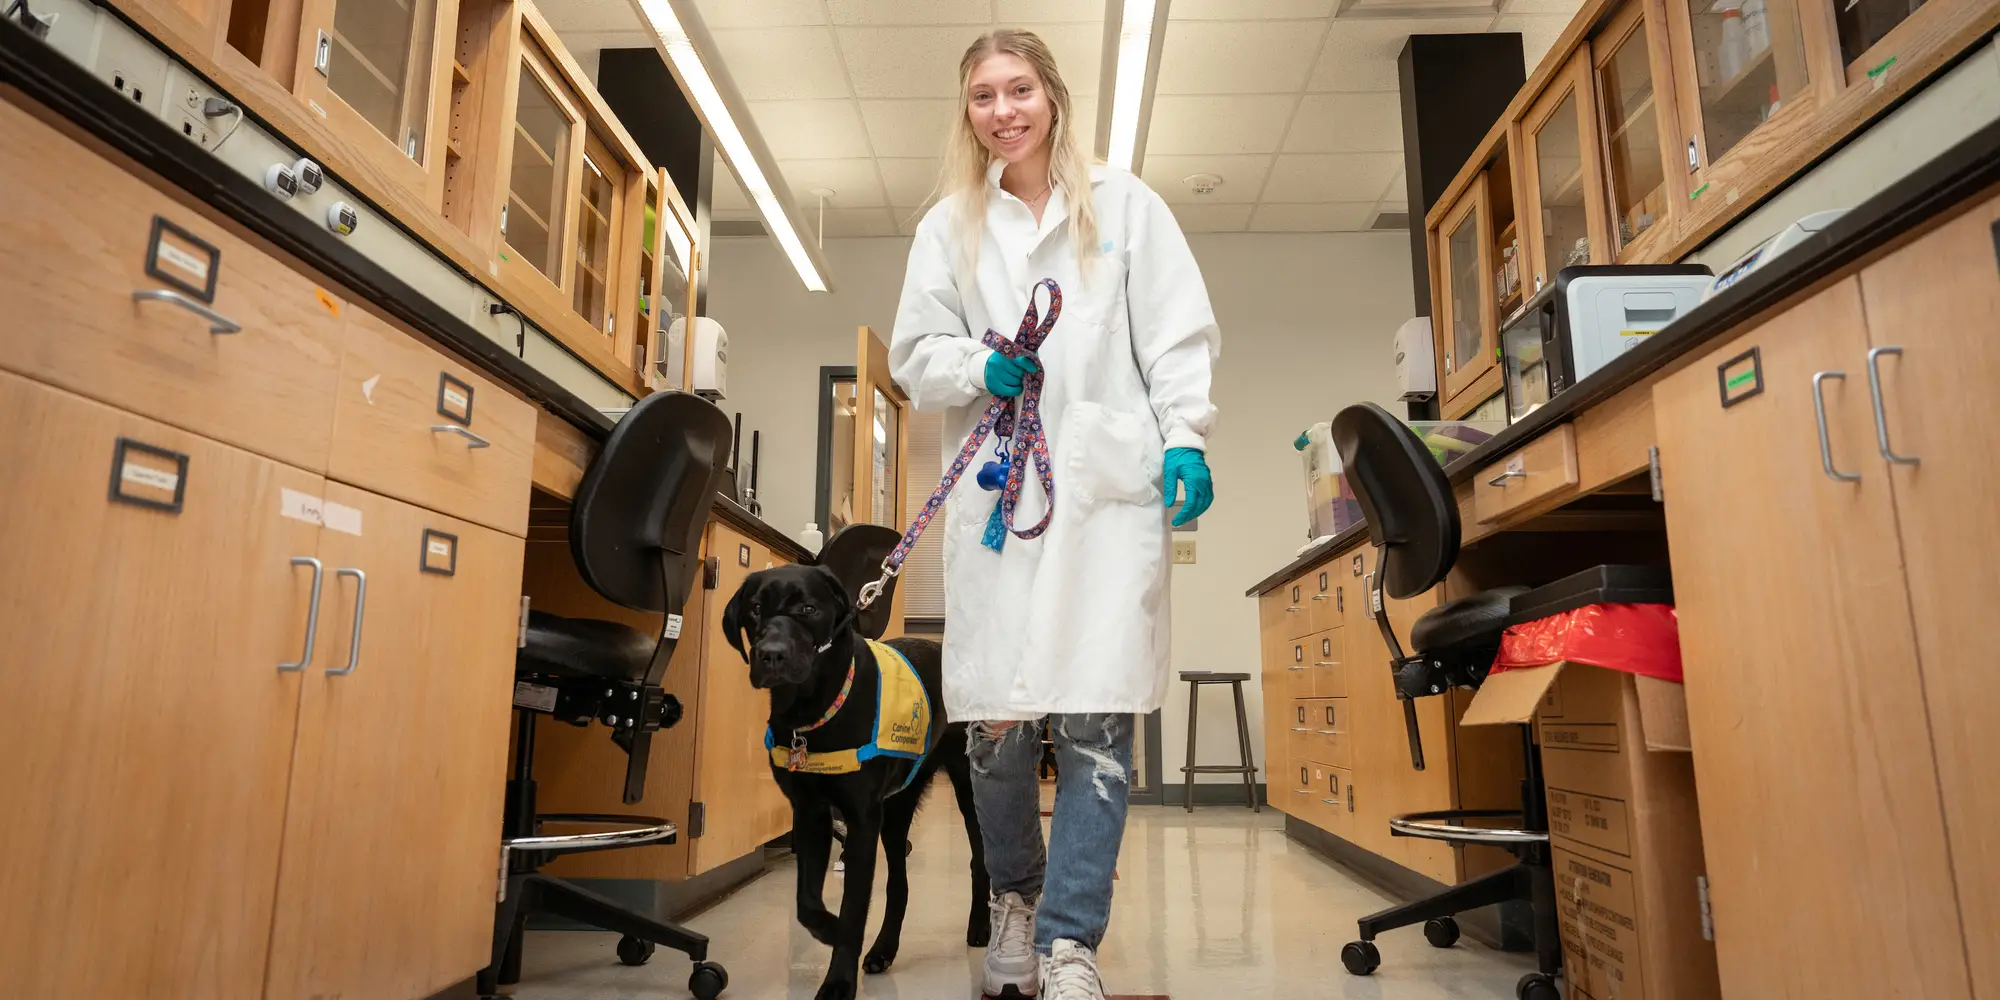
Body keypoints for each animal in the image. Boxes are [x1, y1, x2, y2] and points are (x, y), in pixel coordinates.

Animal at [728, 564, 992, 1000]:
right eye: (755, 610)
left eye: (808, 609)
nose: (772, 655)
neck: (813, 711)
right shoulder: (811, 814)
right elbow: (806, 902)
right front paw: (831, 931)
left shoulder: (861, 820)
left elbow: (853, 907)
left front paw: (838, 980)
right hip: (898, 807)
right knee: (899, 884)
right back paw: (884, 948)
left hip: (969, 790)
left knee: (979, 860)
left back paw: (981, 926)